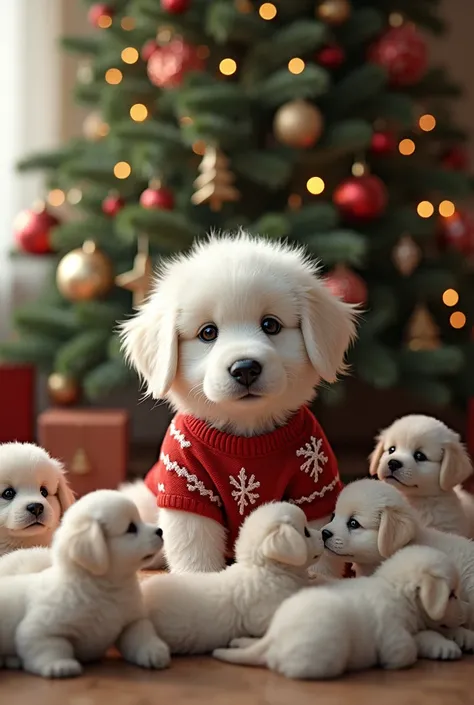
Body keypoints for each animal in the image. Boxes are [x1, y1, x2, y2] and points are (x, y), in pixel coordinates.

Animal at [0, 490, 170, 676]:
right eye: (131, 528)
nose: (160, 531)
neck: (106, 589)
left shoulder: (132, 621)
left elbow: (142, 635)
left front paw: (155, 652)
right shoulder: (39, 629)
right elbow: (51, 646)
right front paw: (60, 665)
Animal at [120, 234, 358, 576]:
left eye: (271, 325)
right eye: (208, 332)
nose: (245, 368)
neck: (245, 439)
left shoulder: (315, 486)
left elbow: (322, 551)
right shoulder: (187, 492)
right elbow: (196, 559)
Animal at [213, 544, 468, 676]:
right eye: (451, 594)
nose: (463, 615)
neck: (396, 589)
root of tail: (276, 636)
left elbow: (425, 635)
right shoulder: (394, 634)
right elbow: (407, 649)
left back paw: (241, 642)